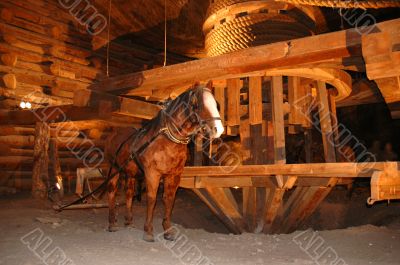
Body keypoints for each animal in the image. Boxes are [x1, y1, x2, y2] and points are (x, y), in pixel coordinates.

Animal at [104, 84, 222, 239]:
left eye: (216, 104)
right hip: (113, 169)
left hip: (131, 172)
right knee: (111, 191)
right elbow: (152, 198)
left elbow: (169, 199)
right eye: (198, 105)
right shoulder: (152, 174)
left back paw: (129, 221)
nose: (219, 129)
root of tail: (114, 133)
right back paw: (112, 223)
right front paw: (148, 230)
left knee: (129, 193)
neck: (166, 140)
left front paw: (168, 229)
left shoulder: (174, 175)